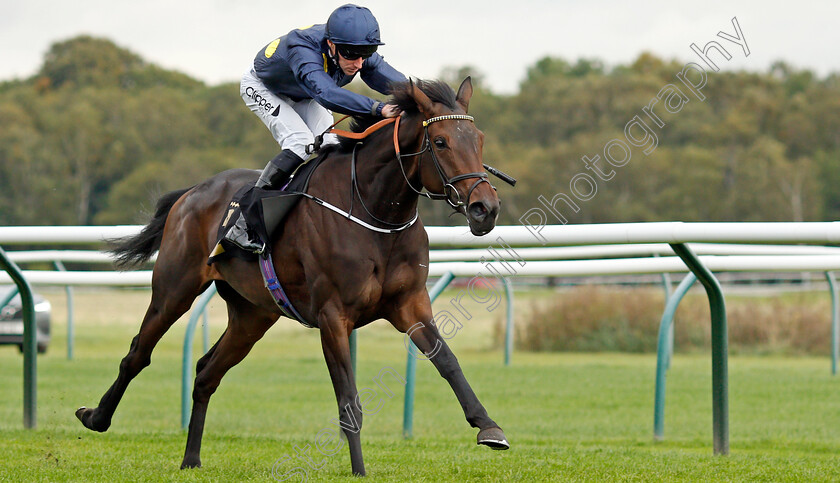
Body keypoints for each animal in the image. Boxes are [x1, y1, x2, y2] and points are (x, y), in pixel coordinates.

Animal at [75, 78, 508, 476]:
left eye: (479, 139)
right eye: (440, 142)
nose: (485, 208)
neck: (374, 212)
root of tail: (192, 191)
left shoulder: (410, 304)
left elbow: (447, 361)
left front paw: (489, 428)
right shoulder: (333, 316)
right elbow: (349, 399)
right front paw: (359, 469)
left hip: (252, 315)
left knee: (206, 373)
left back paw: (191, 459)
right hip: (174, 288)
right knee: (137, 353)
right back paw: (96, 417)